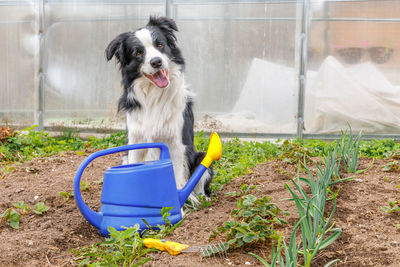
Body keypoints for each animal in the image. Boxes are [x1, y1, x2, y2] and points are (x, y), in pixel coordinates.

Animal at [105, 16, 212, 203]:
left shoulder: (176, 143)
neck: (153, 94)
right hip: (125, 157)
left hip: (201, 158)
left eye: (160, 44)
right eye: (138, 53)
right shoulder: (136, 140)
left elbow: (177, 179)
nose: (156, 62)